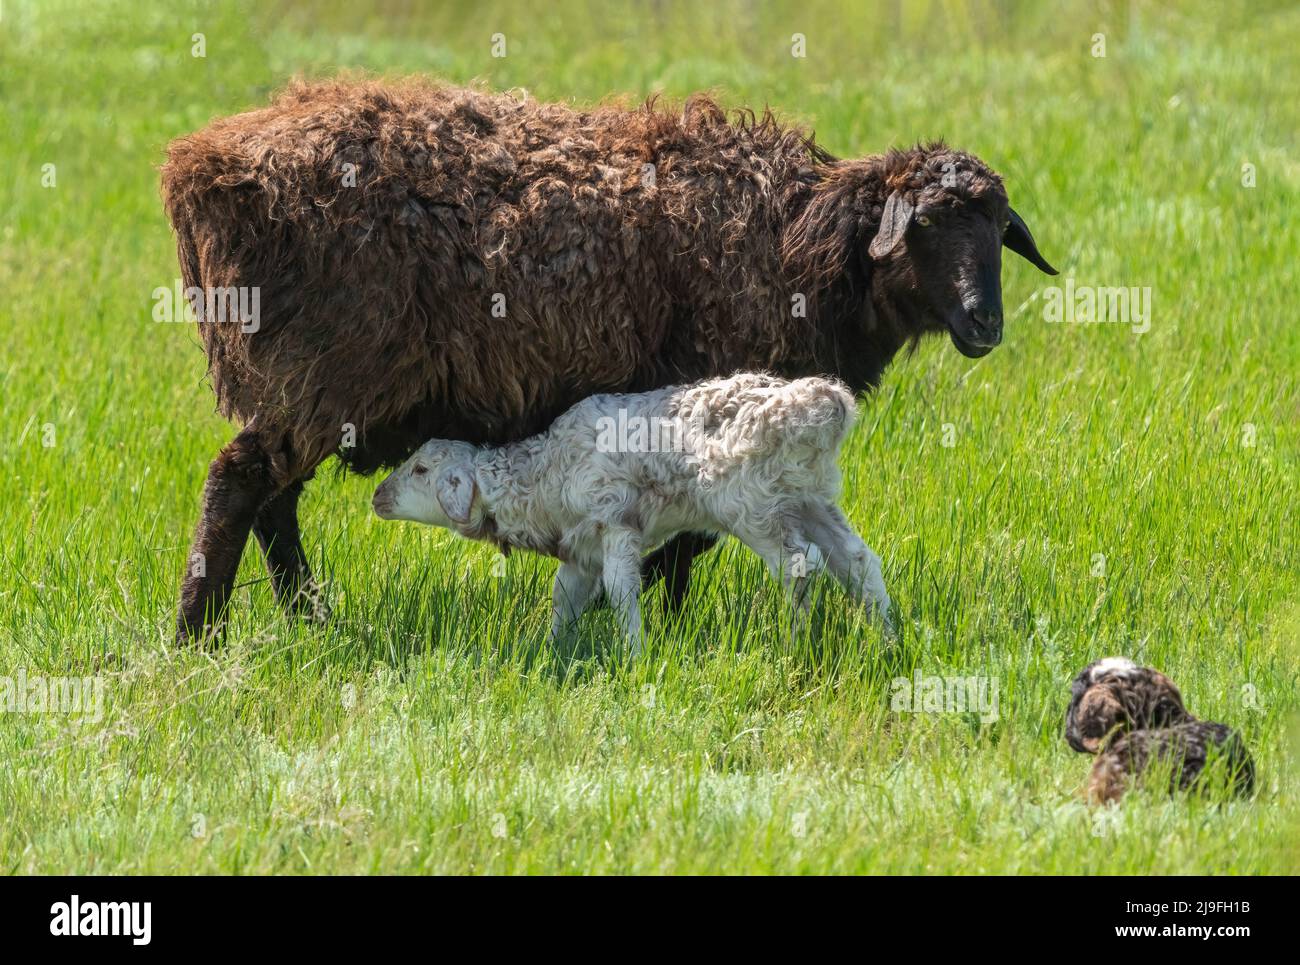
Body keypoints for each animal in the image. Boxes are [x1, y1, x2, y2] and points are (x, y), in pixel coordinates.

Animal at [371, 373, 892, 654]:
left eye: (420, 469)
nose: (377, 497)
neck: (544, 476)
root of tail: (823, 402)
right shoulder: (579, 548)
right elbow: (563, 598)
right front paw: (553, 649)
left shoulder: (617, 522)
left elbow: (623, 590)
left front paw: (634, 653)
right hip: (810, 496)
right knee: (858, 561)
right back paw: (888, 637)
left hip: (753, 505)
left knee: (799, 566)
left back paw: (796, 644)